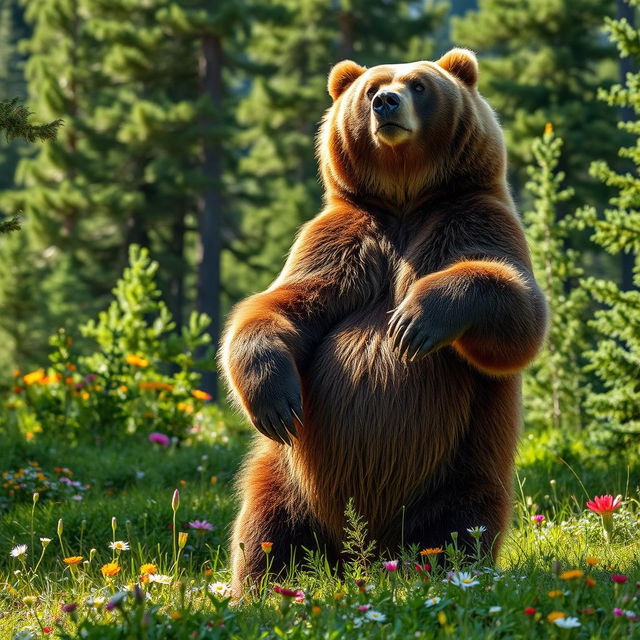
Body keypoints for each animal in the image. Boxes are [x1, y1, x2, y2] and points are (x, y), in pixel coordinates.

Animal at [220, 48, 544, 596]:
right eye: (371, 87)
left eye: (418, 84)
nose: (385, 102)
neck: (405, 201)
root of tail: (364, 554)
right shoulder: (340, 242)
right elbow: (283, 306)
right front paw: (275, 400)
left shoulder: (474, 220)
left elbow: (517, 310)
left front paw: (412, 320)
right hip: (287, 477)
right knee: (267, 530)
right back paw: (264, 587)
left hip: (458, 467)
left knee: (459, 527)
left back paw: (441, 572)